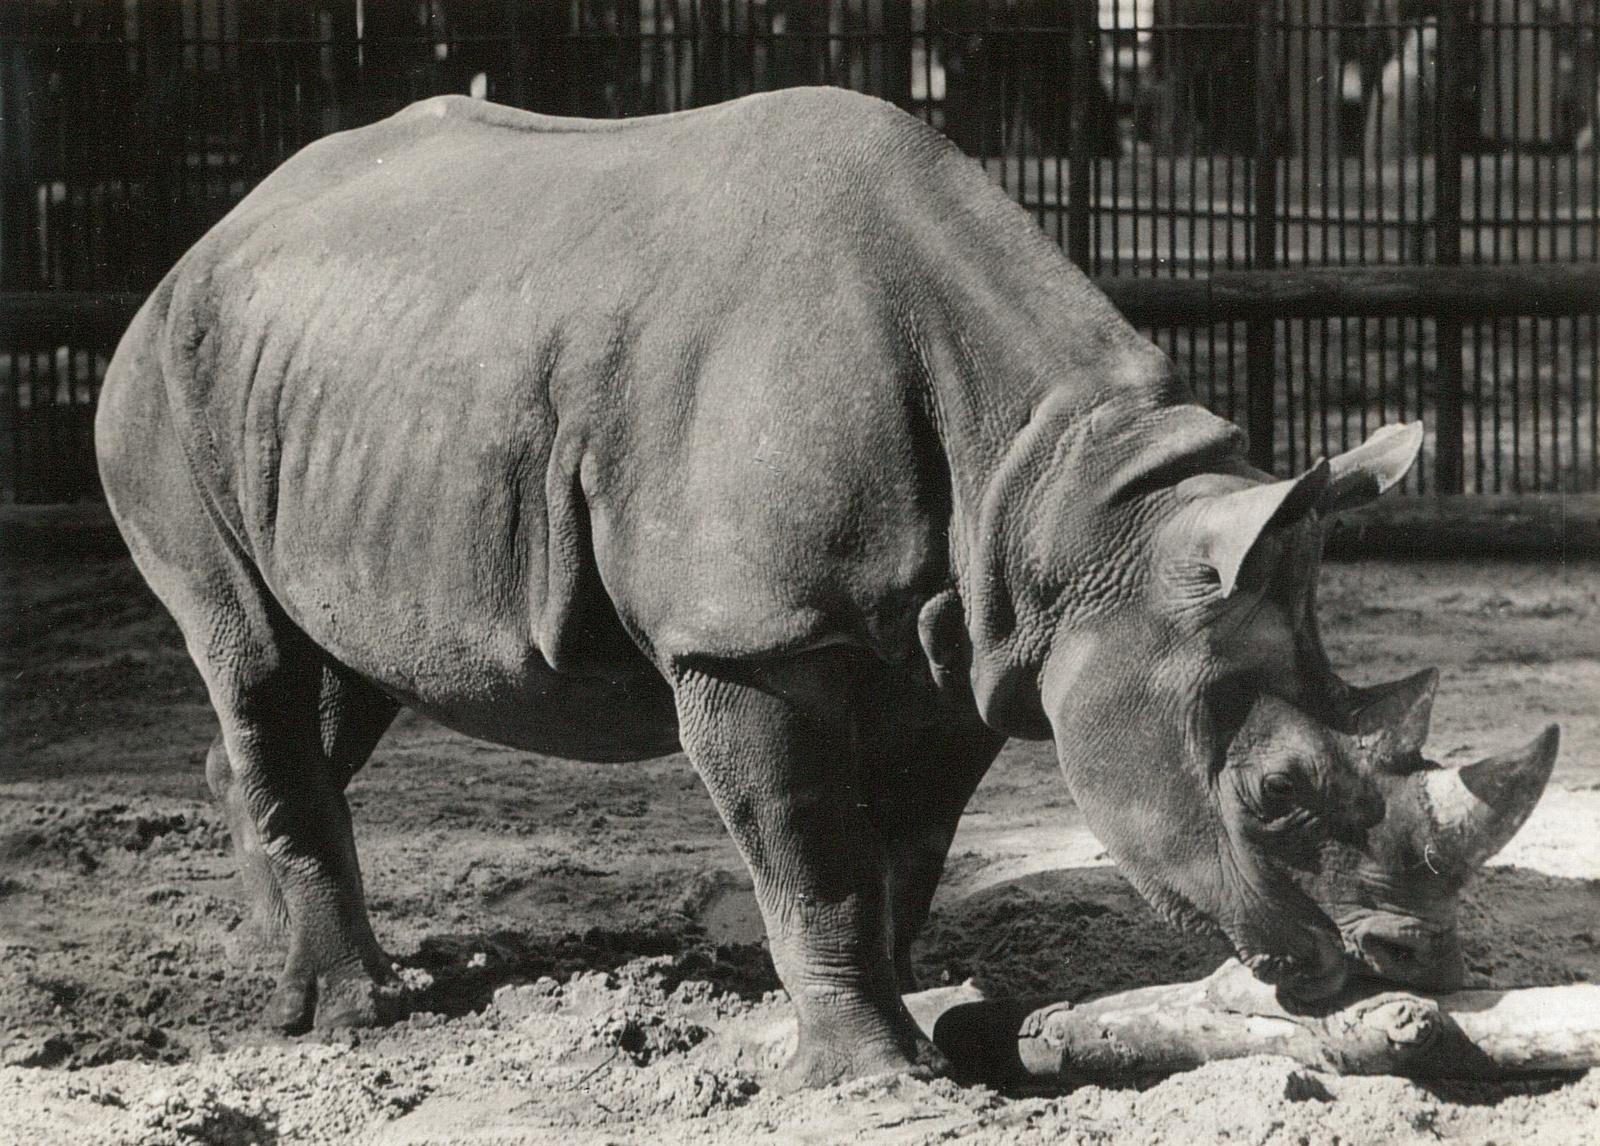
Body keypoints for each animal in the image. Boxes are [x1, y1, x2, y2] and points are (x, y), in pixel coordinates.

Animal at [96, 88, 1556, 1090]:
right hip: (166, 371)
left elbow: (905, 841)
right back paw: (352, 1016)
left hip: (343, 381)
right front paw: (868, 1072)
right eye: (1276, 793)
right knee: (254, 657)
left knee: (331, 682)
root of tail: (211, 234)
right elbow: (809, 842)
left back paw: (278, 967)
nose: (1420, 962)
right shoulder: (748, 638)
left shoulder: (983, 642)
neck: (1076, 504)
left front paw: (928, 1011)